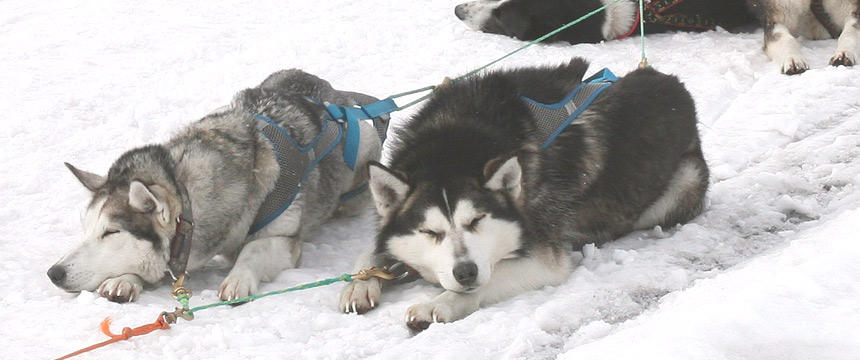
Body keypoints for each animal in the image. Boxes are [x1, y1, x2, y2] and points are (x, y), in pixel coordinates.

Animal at [48, 69, 382, 302]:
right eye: (88, 229)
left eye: (111, 232)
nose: (54, 273)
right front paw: (125, 279)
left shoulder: (285, 239)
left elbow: (254, 249)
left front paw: (239, 277)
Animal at [340, 57, 708, 330]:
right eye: (430, 232)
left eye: (477, 220)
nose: (465, 271)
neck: (452, 144)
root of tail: (672, 83)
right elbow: (375, 250)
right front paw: (362, 279)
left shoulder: (543, 256)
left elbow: (489, 279)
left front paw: (439, 304)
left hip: (681, 184)